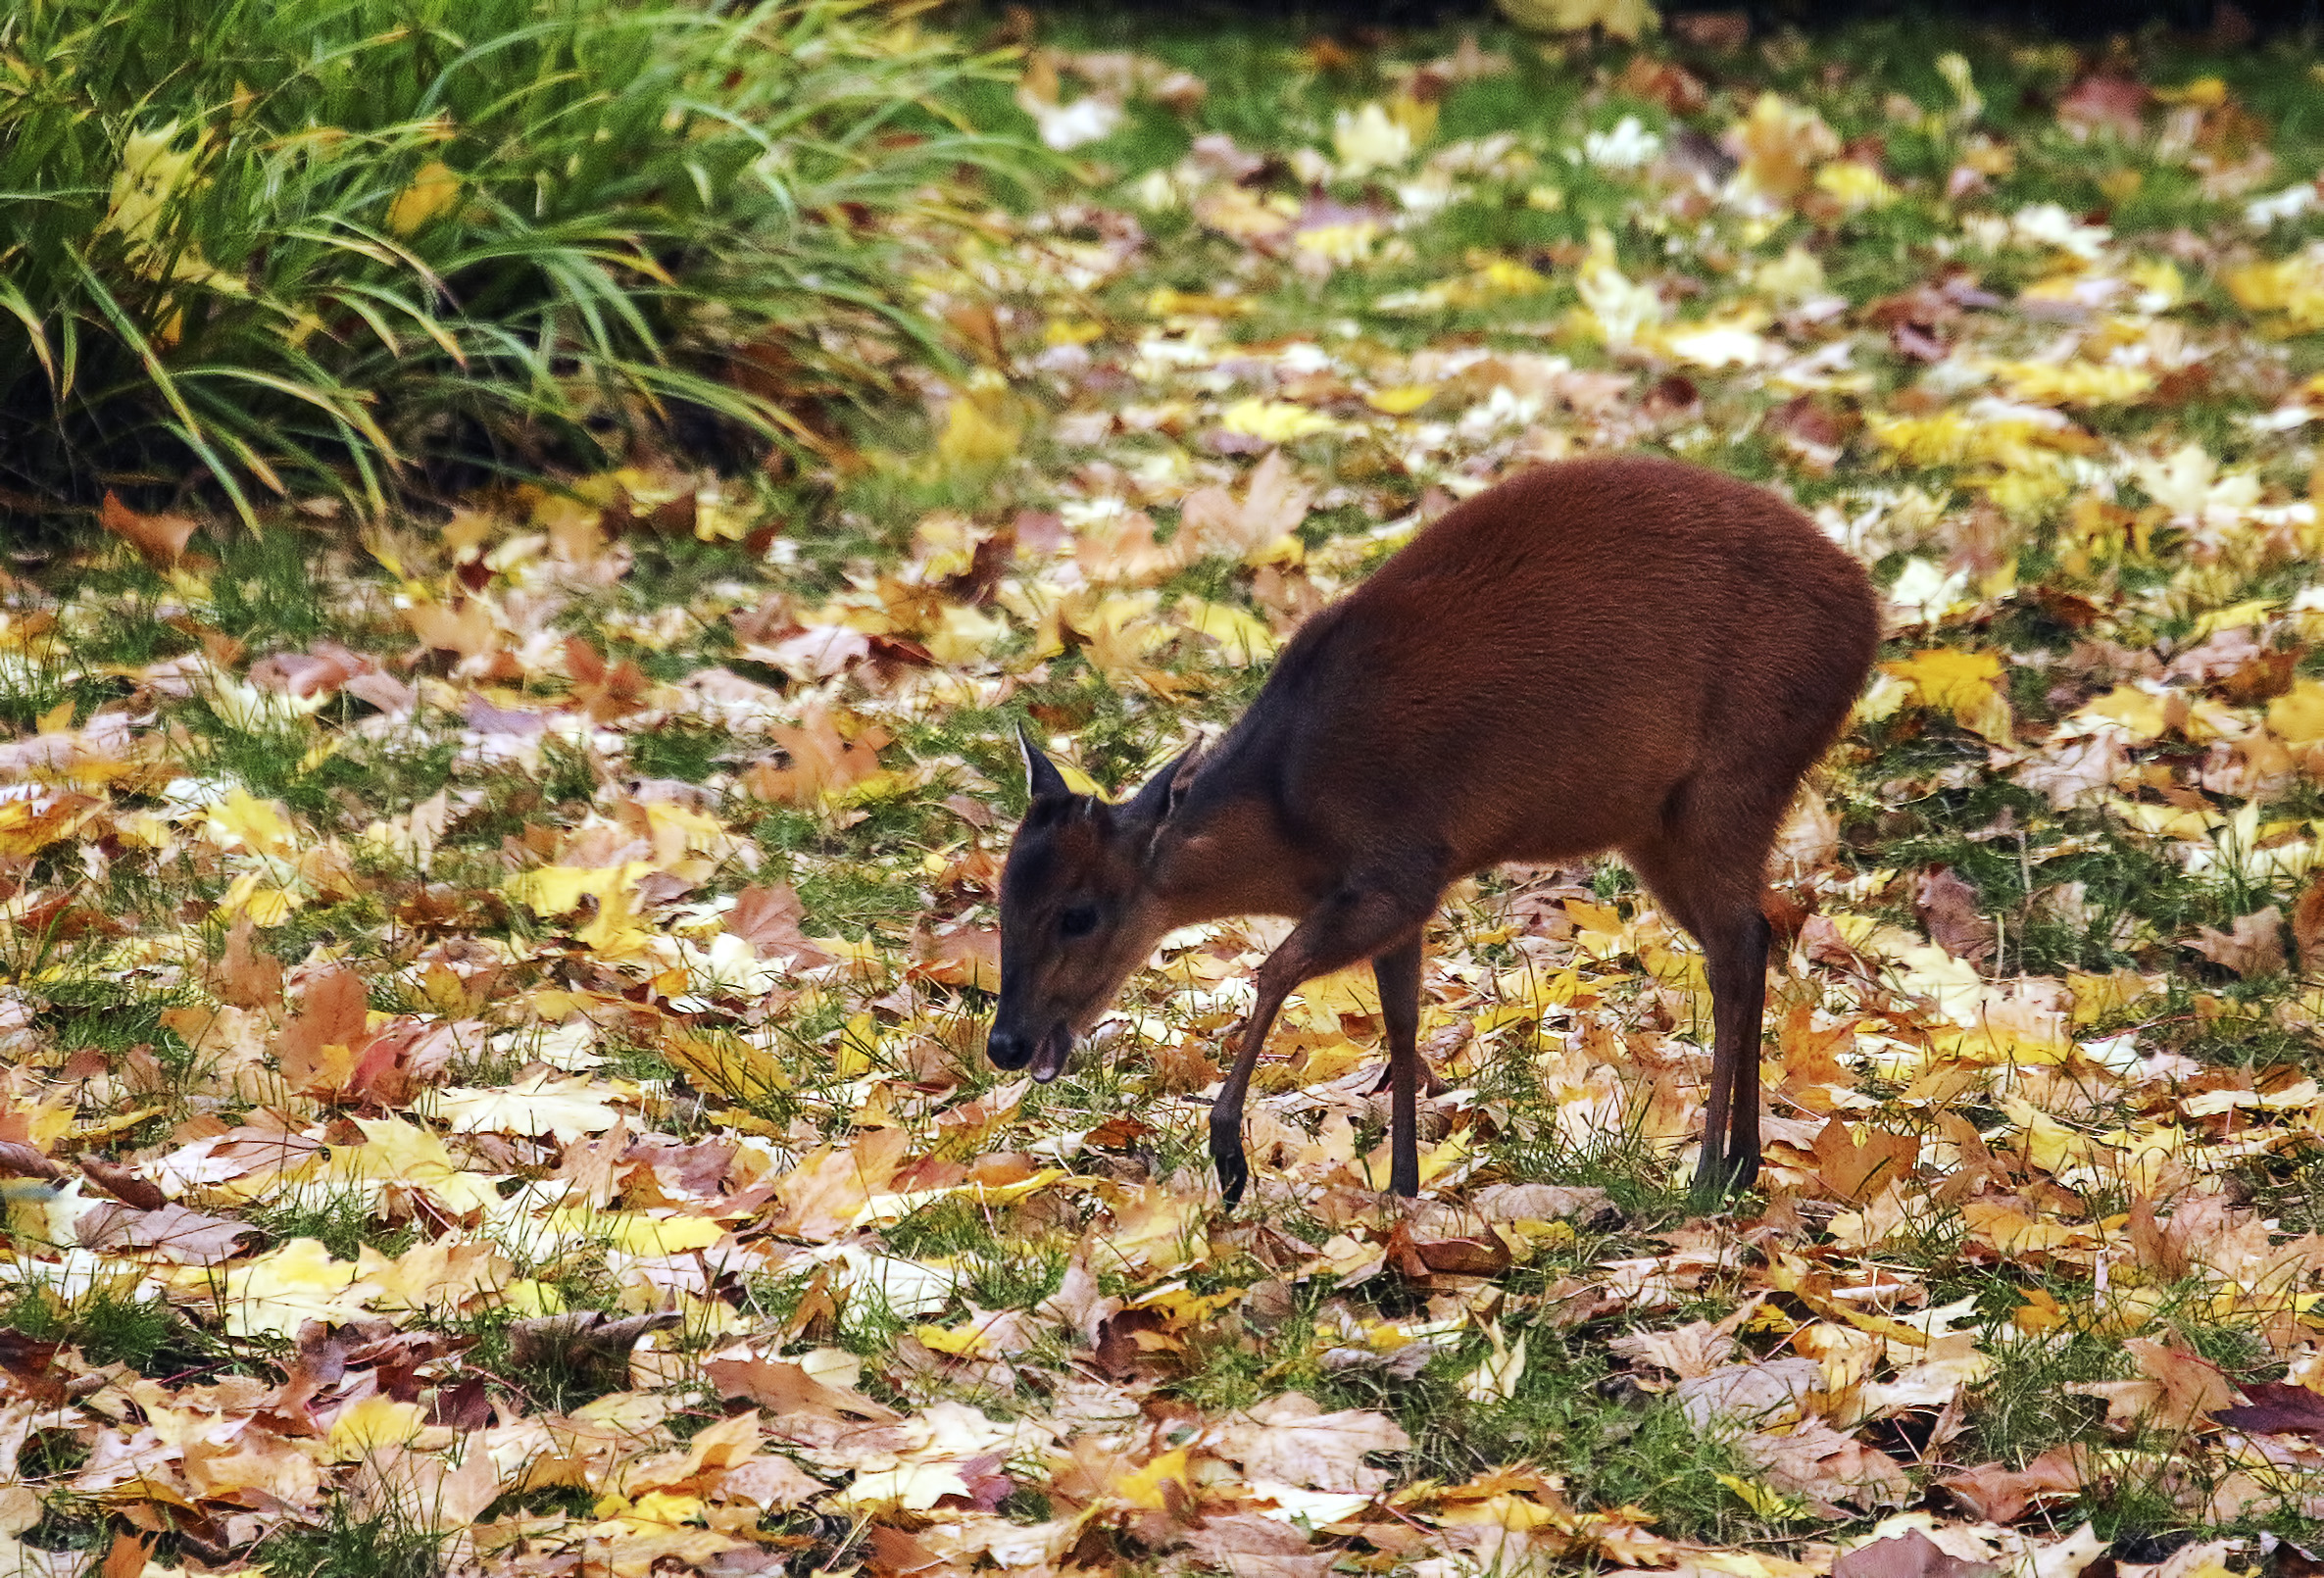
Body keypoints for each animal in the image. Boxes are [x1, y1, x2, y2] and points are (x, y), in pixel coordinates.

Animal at [990, 453, 1877, 1208]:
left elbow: (1275, 970)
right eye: (999, 902)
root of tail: (1866, 614)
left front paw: (1230, 1156)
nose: (1004, 1042)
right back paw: (1744, 1161)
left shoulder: (1403, 867)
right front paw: (1403, 1186)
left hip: (1735, 776)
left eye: (1079, 913)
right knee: (1751, 940)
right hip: (1657, 821)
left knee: (1732, 950)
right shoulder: (1398, 904)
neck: (1288, 815)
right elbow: (1400, 1020)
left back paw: (1707, 1174)